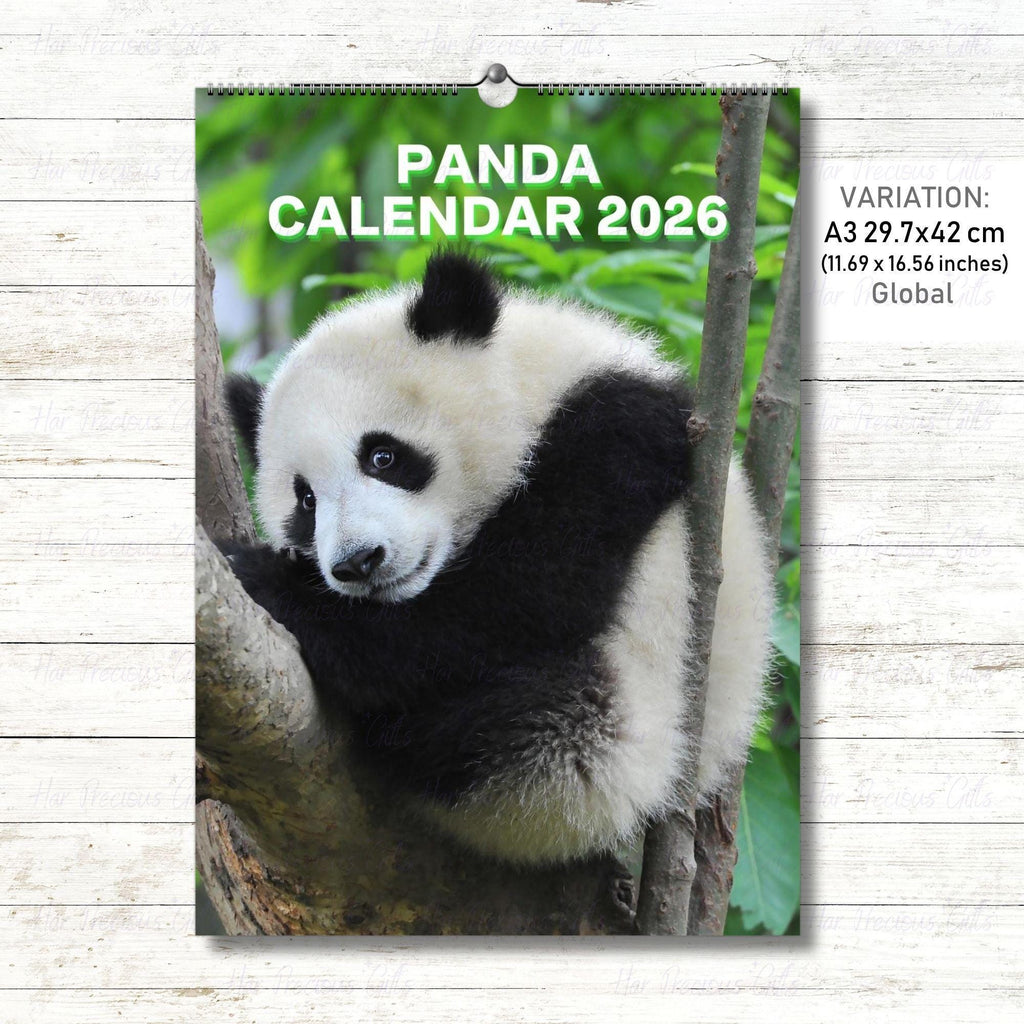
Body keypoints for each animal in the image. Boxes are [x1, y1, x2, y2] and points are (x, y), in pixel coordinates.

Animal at [220, 251, 773, 865]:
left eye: (382, 455)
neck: (529, 382)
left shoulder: (621, 430)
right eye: (306, 502)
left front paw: (262, 575)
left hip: (615, 731)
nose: (358, 563)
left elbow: (516, 599)